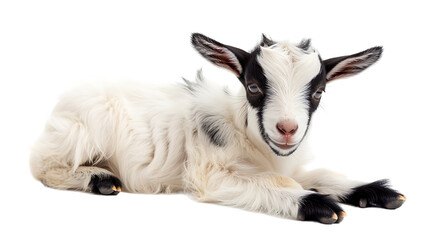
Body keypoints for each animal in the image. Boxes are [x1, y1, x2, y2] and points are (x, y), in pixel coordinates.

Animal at [30, 33, 404, 223]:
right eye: (253, 86)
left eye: (318, 92)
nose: (287, 129)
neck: (248, 135)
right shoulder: (209, 173)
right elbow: (274, 183)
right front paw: (320, 206)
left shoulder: (289, 162)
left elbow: (321, 174)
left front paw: (377, 192)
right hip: (81, 131)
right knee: (42, 166)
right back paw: (100, 180)